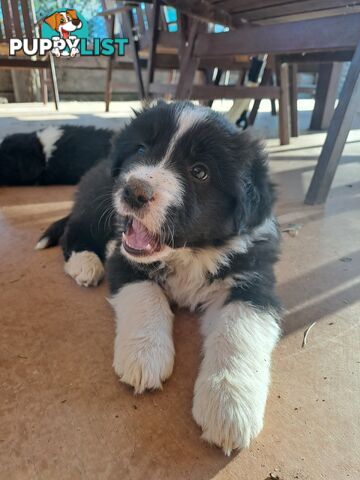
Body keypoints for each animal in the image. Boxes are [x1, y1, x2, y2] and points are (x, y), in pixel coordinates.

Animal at [38, 101, 282, 454]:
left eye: (199, 171)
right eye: (140, 149)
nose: (133, 191)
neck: (190, 252)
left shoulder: (254, 280)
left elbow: (239, 331)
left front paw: (229, 405)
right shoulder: (123, 257)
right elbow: (146, 297)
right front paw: (145, 356)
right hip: (97, 202)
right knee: (75, 229)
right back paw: (85, 263)